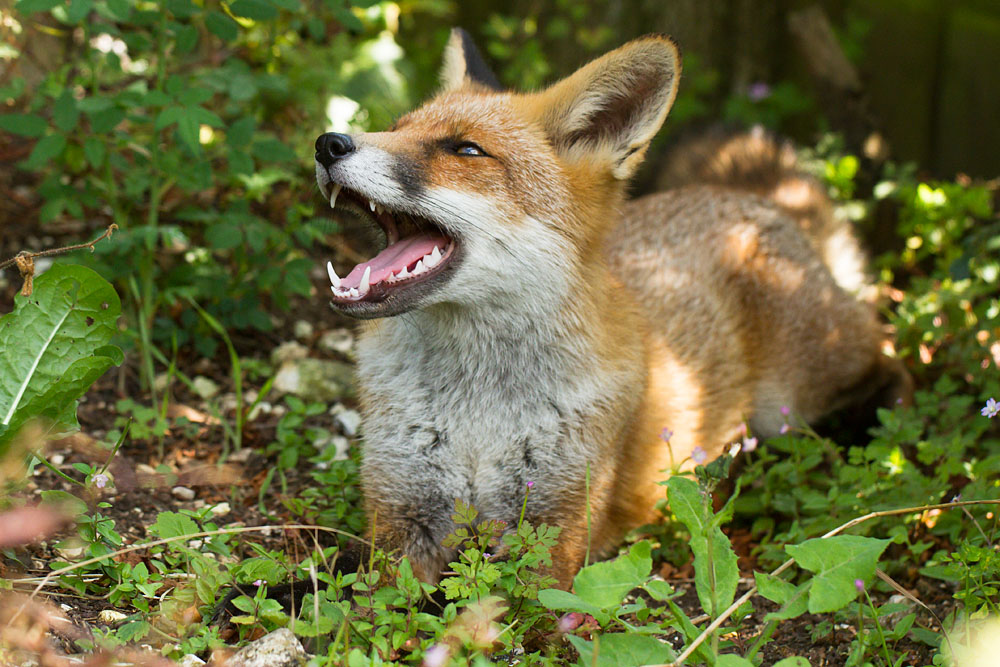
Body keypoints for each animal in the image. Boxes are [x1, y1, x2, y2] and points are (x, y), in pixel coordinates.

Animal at [312, 29, 912, 588]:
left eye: (465, 150)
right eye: (397, 126)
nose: (328, 143)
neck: (478, 415)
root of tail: (754, 202)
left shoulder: (554, 527)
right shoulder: (402, 512)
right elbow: (373, 602)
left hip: (795, 393)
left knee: (891, 355)